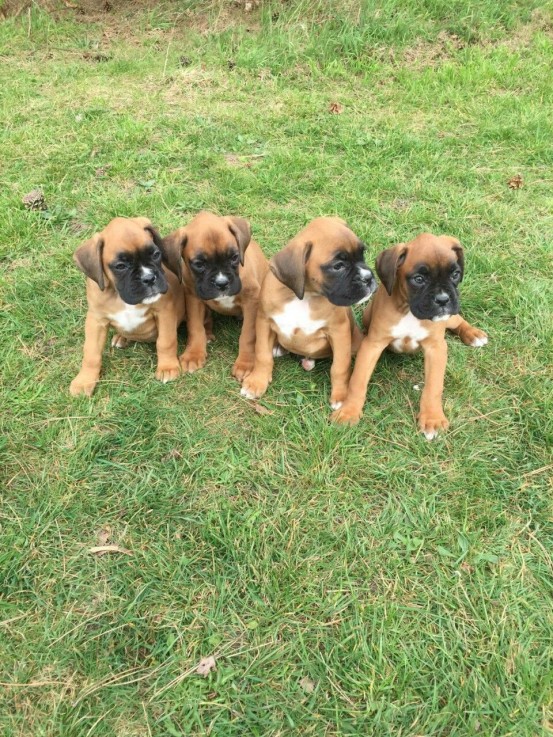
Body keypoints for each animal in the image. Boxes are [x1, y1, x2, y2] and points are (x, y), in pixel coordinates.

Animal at [69, 216, 184, 394]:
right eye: (120, 266)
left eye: (156, 254)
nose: (149, 278)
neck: (119, 296)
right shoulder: (96, 321)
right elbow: (91, 353)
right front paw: (84, 380)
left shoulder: (164, 312)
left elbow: (166, 341)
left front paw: (167, 367)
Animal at [162, 208, 268, 376]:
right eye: (199, 264)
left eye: (234, 257)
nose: (222, 283)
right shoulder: (193, 298)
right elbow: (195, 326)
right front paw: (194, 354)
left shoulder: (251, 301)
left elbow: (248, 334)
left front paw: (246, 363)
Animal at [238, 216, 376, 408]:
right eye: (338, 266)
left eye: (362, 254)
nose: (368, 277)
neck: (304, 297)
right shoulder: (264, 322)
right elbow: (262, 354)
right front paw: (256, 382)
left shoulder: (339, 331)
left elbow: (340, 367)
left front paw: (341, 396)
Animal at [330, 231, 486, 436]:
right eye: (418, 279)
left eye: (455, 274)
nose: (443, 299)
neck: (409, 310)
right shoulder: (372, 345)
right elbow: (358, 380)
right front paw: (349, 411)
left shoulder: (436, 348)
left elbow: (434, 386)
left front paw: (432, 418)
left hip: (448, 317)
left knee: (457, 319)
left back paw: (474, 334)